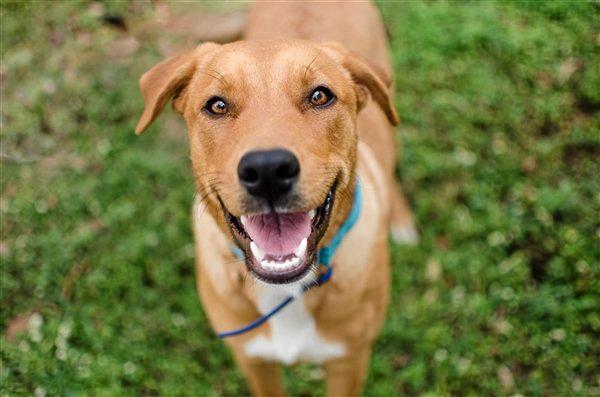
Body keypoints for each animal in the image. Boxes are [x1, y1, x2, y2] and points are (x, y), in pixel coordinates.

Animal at [136, 1, 418, 394]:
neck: (289, 290)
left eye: (320, 95)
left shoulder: (348, 361)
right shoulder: (253, 359)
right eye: (217, 105)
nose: (267, 169)